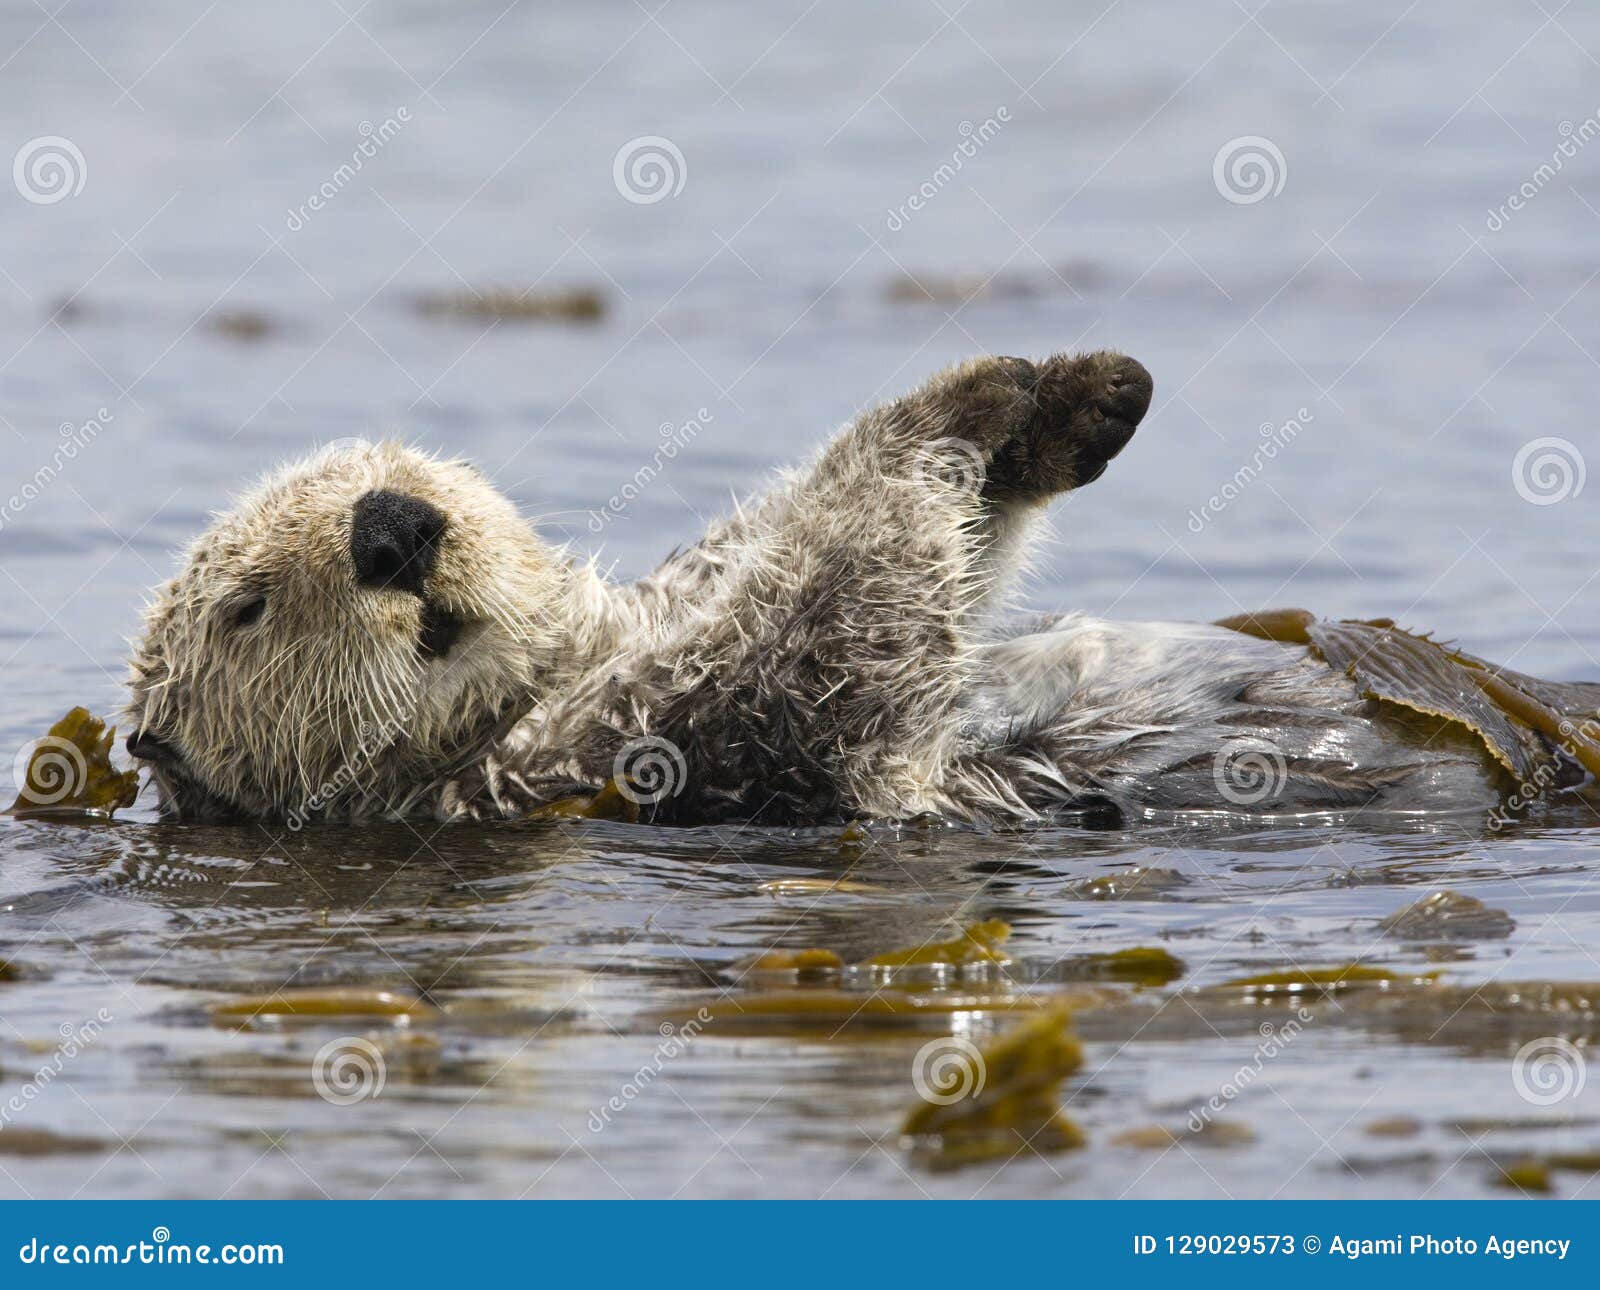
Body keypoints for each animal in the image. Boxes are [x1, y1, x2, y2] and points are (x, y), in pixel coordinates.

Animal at [124, 348, 1600, 825]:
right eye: (248, 603)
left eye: (407, 467)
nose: (390, 528)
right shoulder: (663, 740)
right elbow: (841, 598)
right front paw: (979, 398)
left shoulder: (666, 607)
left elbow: (770, 542)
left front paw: (1079, 397)